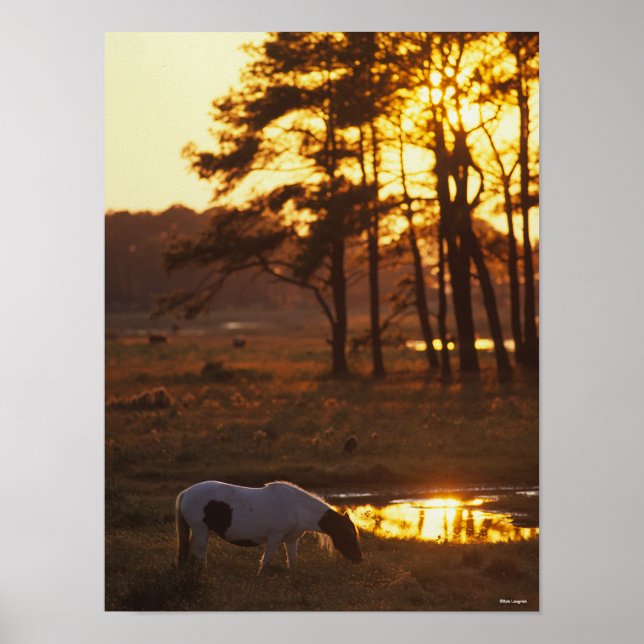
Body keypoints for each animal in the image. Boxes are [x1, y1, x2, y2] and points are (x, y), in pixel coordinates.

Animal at [175, 480, 362, 573]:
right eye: (349, 534)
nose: (359, 558)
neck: (296, 507)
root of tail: (186, 492)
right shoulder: (274, 538)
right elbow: (266, 562)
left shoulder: (291, 540)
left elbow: (293, 564)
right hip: (201, 531)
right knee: (200, 556)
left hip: (198, 532)